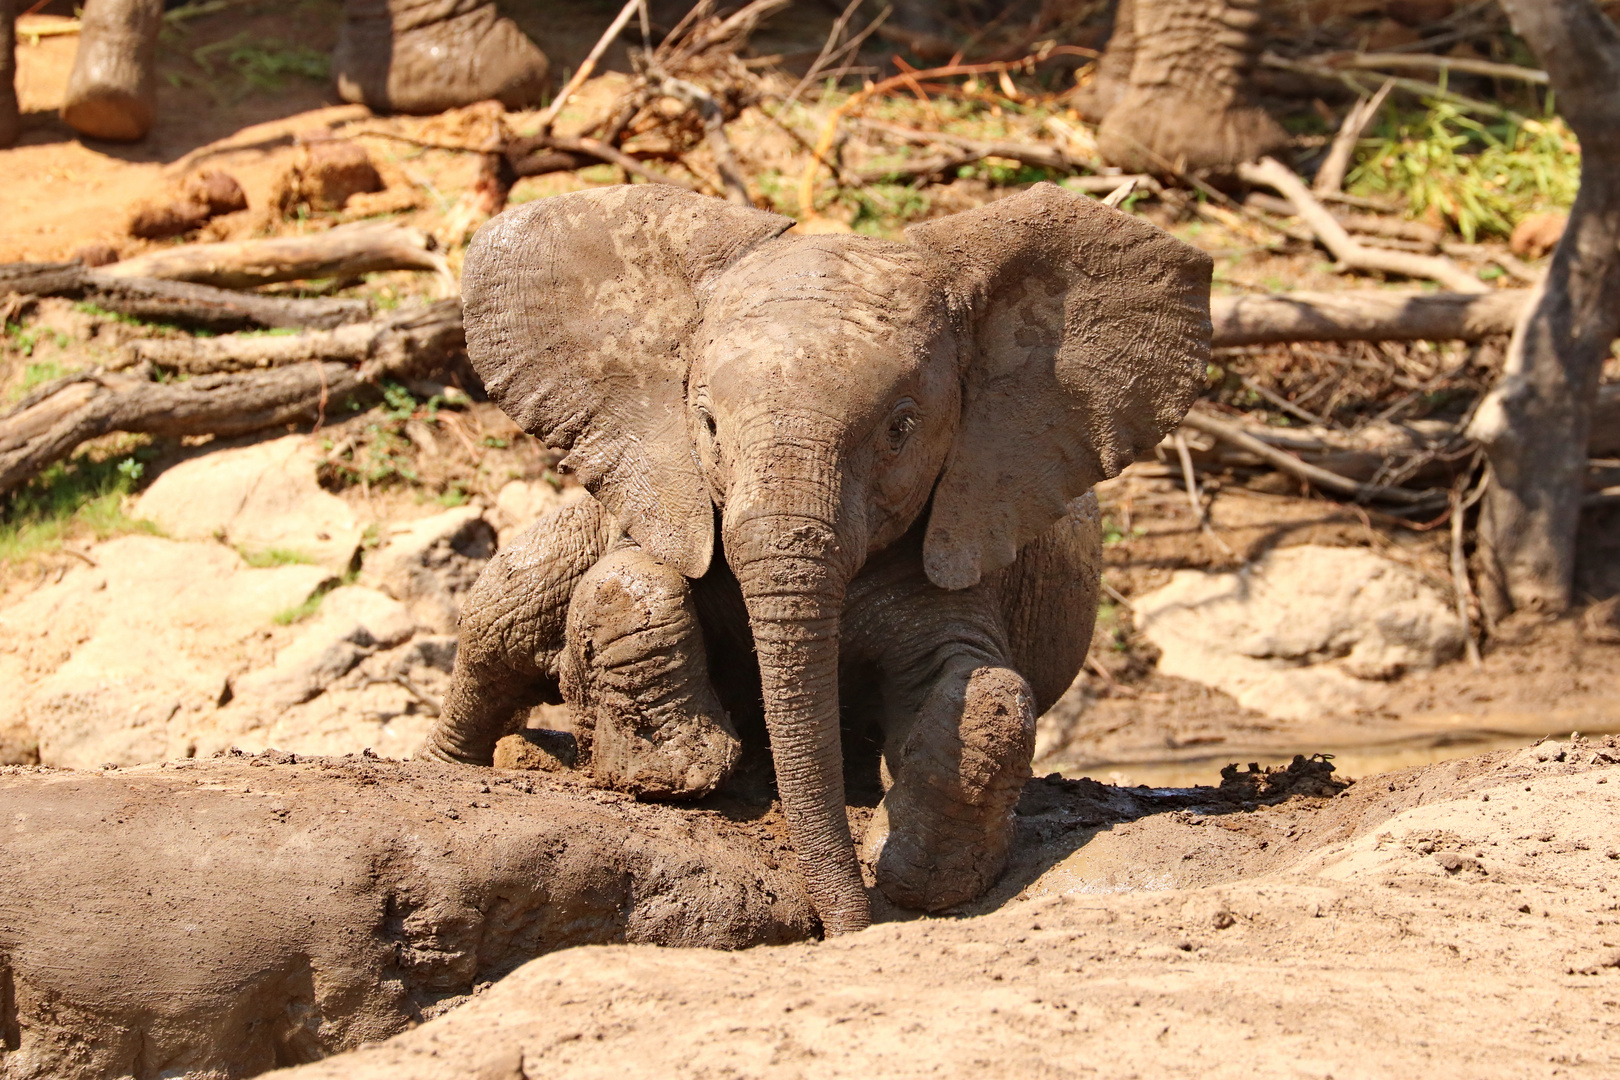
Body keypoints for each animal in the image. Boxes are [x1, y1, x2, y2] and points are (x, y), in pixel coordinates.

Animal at [424, 181, 1211, 932]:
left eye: (901, 429)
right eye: (707, 423)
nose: (848, 926)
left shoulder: (968, 529)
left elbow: (986, 686)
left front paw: (918, 880)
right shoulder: (665, 484)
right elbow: (630, 577)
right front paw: (672, 776)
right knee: (504, 616)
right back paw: (448, 766)